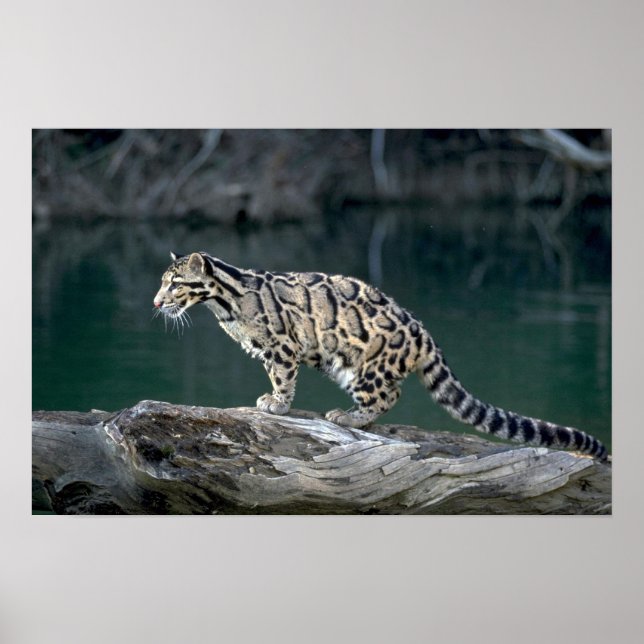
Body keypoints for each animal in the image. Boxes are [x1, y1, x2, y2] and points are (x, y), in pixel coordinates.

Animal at [153, 251, 608, 460]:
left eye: (175, 283)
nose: (156, 302)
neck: (224, 304)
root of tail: (422, 332)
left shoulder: (282, 346)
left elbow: (282, 377)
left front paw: (276, 404)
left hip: (364, 367)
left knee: (388, 396)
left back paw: (349, 416)